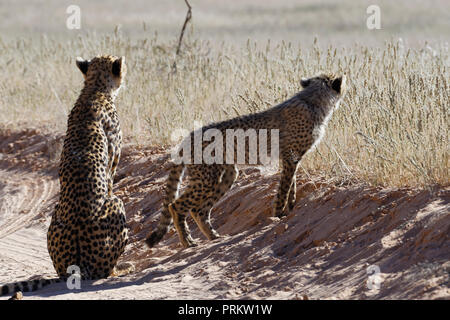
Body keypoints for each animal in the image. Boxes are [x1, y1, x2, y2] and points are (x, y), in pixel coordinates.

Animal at [1, 54, 131, 296]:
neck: (94, 88)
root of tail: (76, 269)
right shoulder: (113, 164)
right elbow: (110, 181)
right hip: (117, 203)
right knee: (107, 271)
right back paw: (123, 268)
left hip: (55, 215)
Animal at [146, 74, 346, 249]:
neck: (312, 100)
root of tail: (190, 135)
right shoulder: (290, 157)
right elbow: (284, 187)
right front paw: (278, 215)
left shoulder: (290, 158)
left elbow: (291, 184)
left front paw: (290, 207)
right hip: (207, 178)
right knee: (175, 205)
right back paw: (188, 242)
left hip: (227, 174)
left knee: (199, 210)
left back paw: (213, 236)